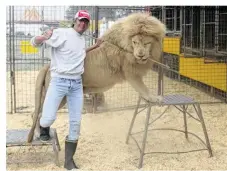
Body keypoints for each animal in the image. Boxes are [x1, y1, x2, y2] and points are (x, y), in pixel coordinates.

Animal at [27, 12, 165, 142]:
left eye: (147, 43)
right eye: (135, 42)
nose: (140, 55)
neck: (127, 48)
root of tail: (48, 66)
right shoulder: (131, 73)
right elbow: (144, 88)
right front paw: (154, 98)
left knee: (37, 114)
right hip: (58, 98)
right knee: (38, 114)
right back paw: (39, 134)